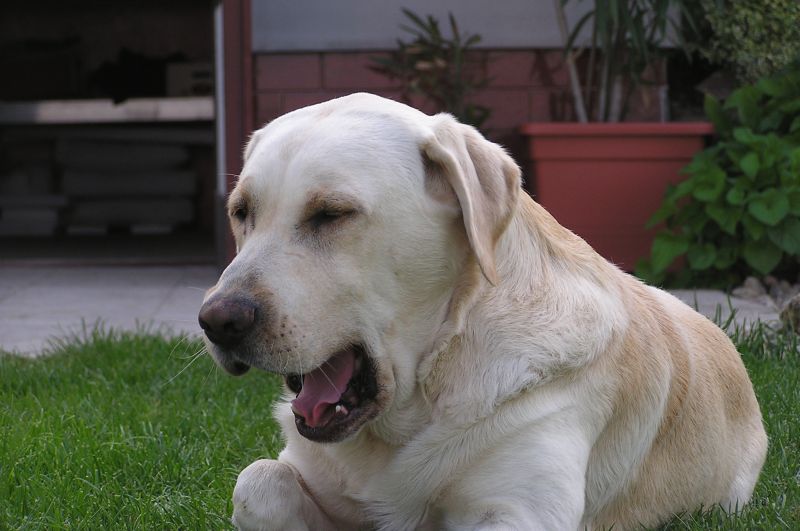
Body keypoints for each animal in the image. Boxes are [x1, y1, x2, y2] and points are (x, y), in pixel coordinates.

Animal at [198, 93, 767, 530]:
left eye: (331, 214)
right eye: (241, 213)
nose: (216, 321)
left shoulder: (519, 511)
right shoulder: (298, 473)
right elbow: (257, 480)